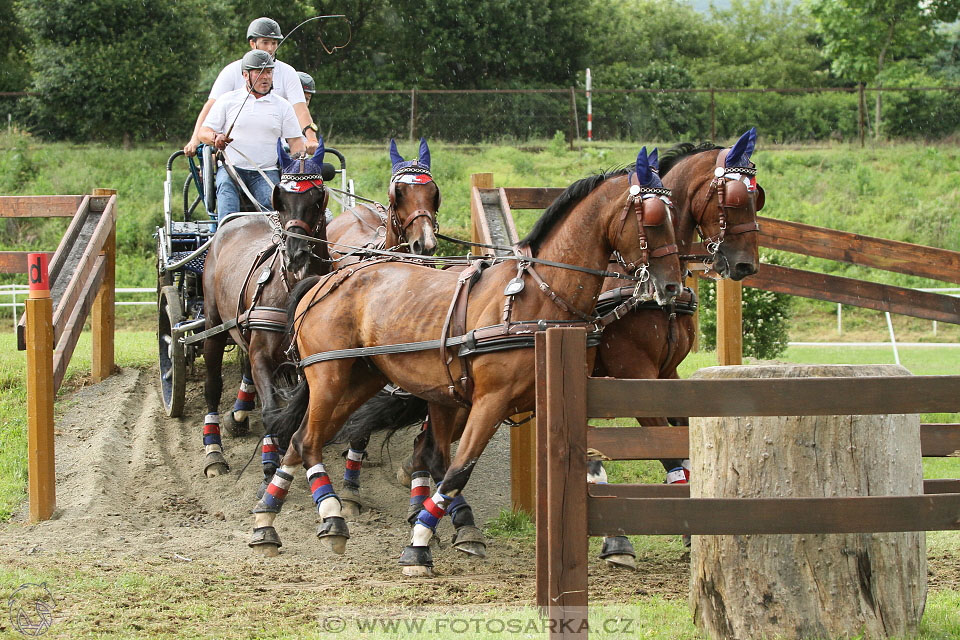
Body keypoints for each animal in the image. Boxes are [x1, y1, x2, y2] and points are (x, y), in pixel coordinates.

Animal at [197, 141, 332, 480]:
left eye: (317, 198)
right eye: (280, 198)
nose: (296, 255)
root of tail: (232, 222)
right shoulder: (262, 356)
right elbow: (271, 410)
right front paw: (271, 461)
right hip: (213, 325)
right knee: (212, 387)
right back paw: (214, 452)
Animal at [248, 148, 684, 572]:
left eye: (673, 215)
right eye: (652, 219)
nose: (671, 285)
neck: (542, 300)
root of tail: (324, 280)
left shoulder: (557, 398)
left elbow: (588, 462)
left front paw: (617, 541)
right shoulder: (491, 401)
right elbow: (460, 468)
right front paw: (419, 545)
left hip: (362, 379)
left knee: (302, 440)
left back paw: (270, 520)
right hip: (331, 377)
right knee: (310, 440)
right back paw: (329, 516)